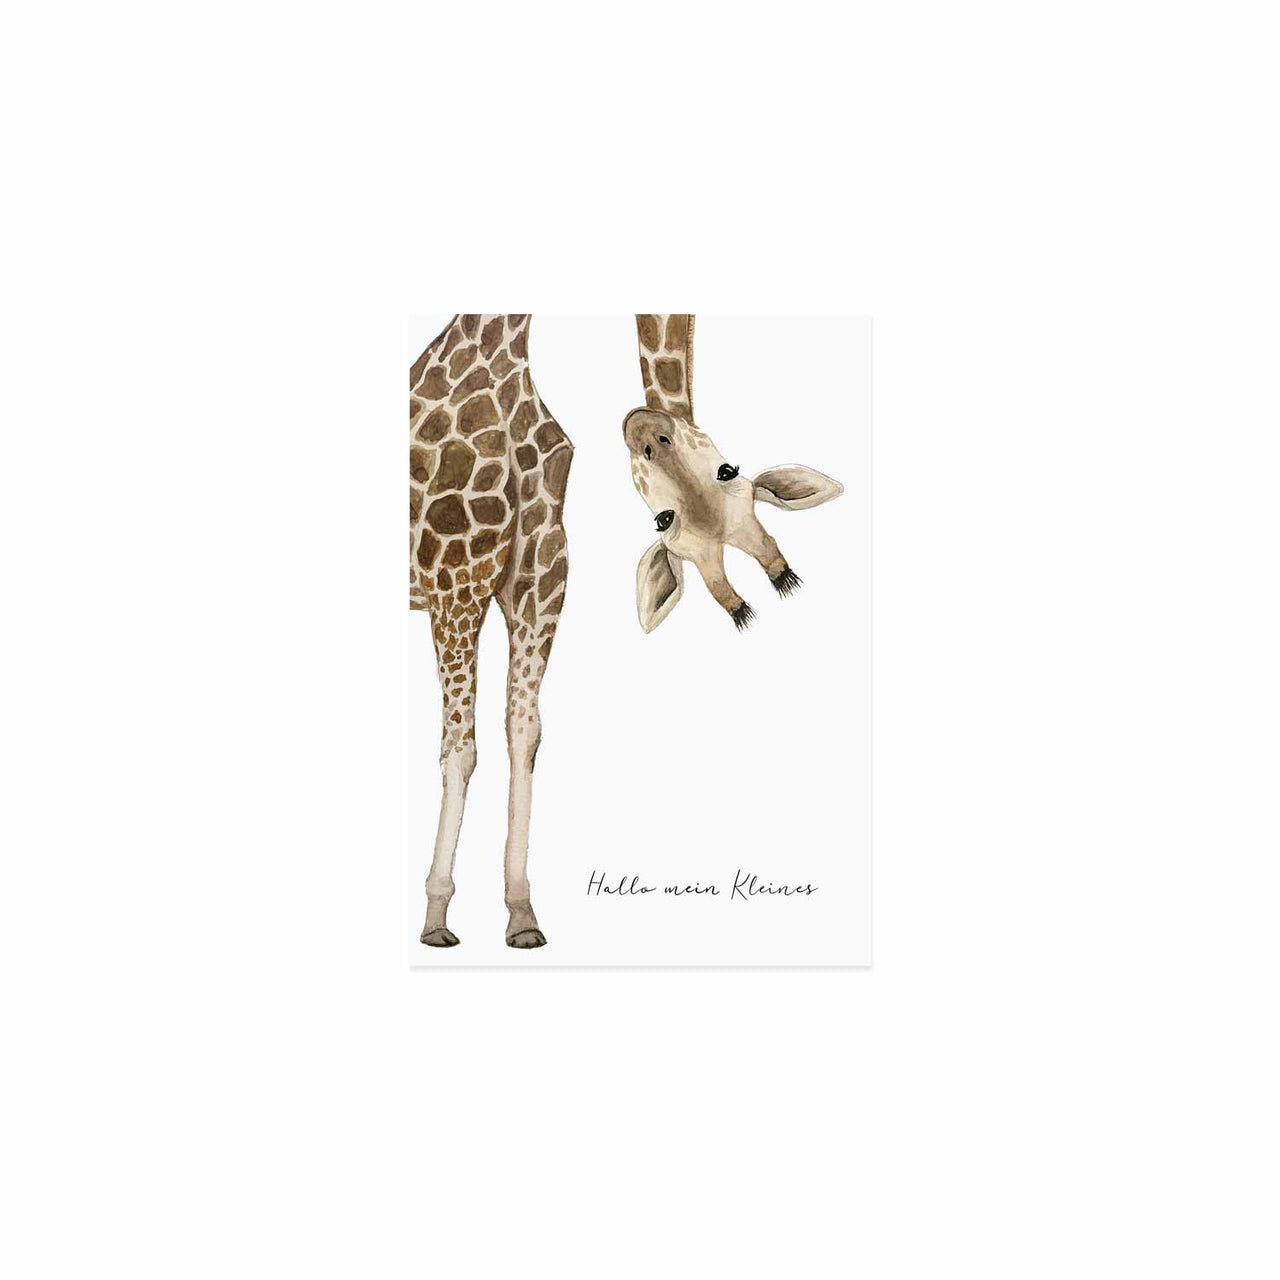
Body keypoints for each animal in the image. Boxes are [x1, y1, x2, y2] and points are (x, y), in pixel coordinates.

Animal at [410, 314, 571, 949]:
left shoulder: (539, 581)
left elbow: (524, 732)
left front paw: (522, 913)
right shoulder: (452, 581)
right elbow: (460, 747)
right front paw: (435, 915)